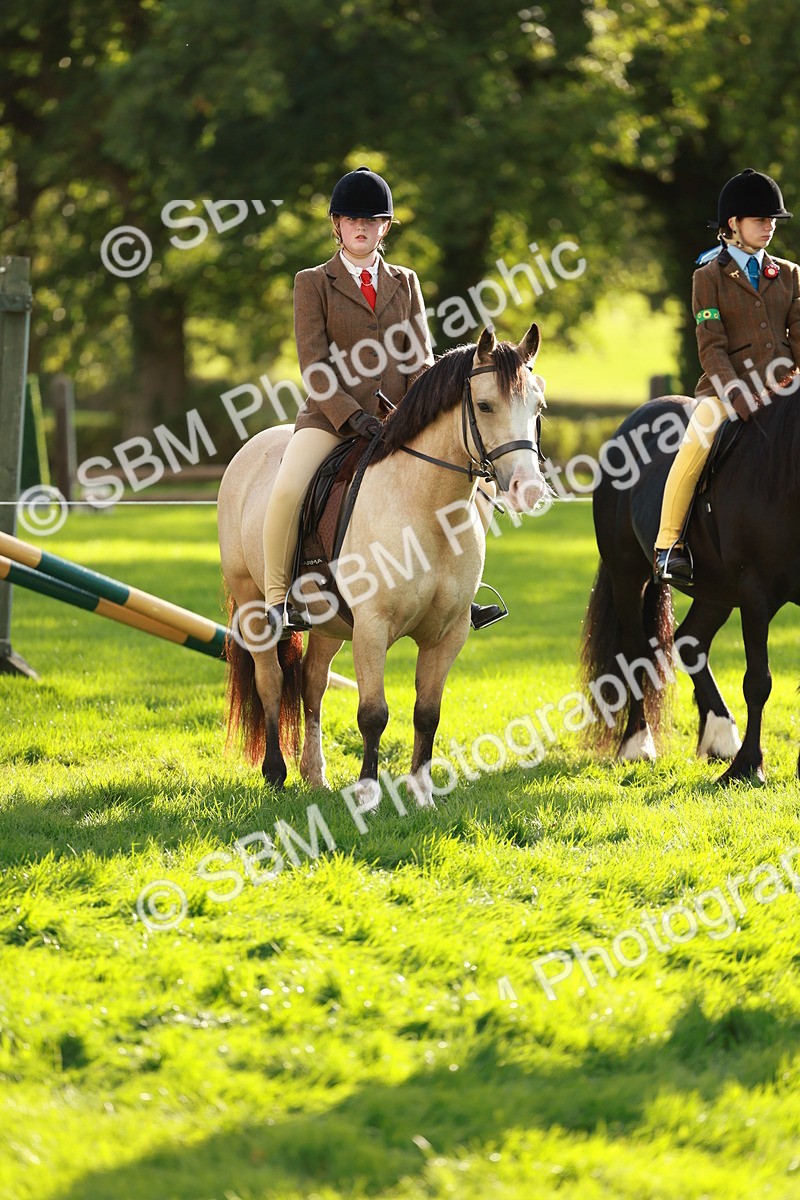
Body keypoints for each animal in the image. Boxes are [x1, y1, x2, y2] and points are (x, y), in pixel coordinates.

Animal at [218, 323, 548, 800]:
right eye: (485, 405)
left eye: (538, 407)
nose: (529, 489)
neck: (427, 509)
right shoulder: (373, 627)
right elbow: (373, 713)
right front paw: (368, 796)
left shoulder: (447, 634)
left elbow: (427, 712)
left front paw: (422, 794)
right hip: (253, 605)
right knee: (272, 681)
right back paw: (276, 772)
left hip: (331, 622)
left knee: (312, 684)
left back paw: (315, 776)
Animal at [580, 390, 800, 784]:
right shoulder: (755, 594)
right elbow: (757, 681)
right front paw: (747, 766)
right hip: (628, 576)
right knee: (636, 652)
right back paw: (638, 744)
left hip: (717, 591)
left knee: (690, 641)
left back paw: (721, 736)